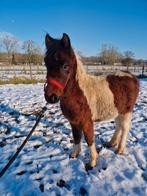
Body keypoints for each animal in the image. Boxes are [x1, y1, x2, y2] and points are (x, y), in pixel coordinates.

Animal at [43, 33, 139, 170]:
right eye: (46, 64)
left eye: (65, 65)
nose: (51, 97)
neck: (79, 93)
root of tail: (131, 75)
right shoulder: (73, 121)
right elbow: (76, 137)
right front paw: (74, 155)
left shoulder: (86, 121)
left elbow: (89, 139)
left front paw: (92, 162)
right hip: (117, 110)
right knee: (118, 125)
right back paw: (111, 143)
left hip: (127, 110)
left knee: (125, 127)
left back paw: (120, 149)